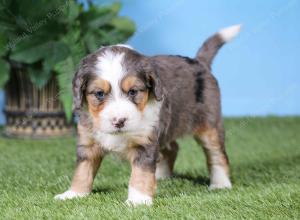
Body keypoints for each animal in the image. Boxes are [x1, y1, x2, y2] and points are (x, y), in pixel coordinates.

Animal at [54, 24, 241, 206]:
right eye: (99, 93)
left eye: (133, 91)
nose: (119, 121)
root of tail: (199, 62)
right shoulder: (88, 143)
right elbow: (82, 170)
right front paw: (74, 194)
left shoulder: (145, 142)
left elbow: (141, 173)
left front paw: (138, 200)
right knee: (172, 148)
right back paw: (161, 177)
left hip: (209, 125)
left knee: (217, 154)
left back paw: (220, 184)